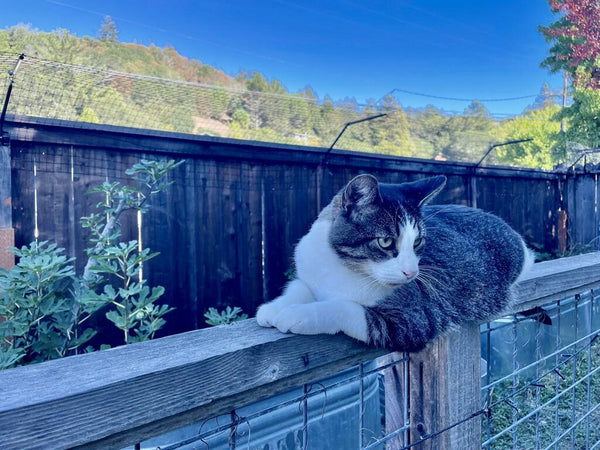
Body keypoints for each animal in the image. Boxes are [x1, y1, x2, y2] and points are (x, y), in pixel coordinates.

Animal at [255, 174, 532, 354]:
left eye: (418, 241)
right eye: (386, 241)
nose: (412, 272)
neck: (342, 268)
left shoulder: (414, 318)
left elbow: (346, 309)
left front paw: (296, 315)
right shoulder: (309, 269)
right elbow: (300, 287)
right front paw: (272, 309)